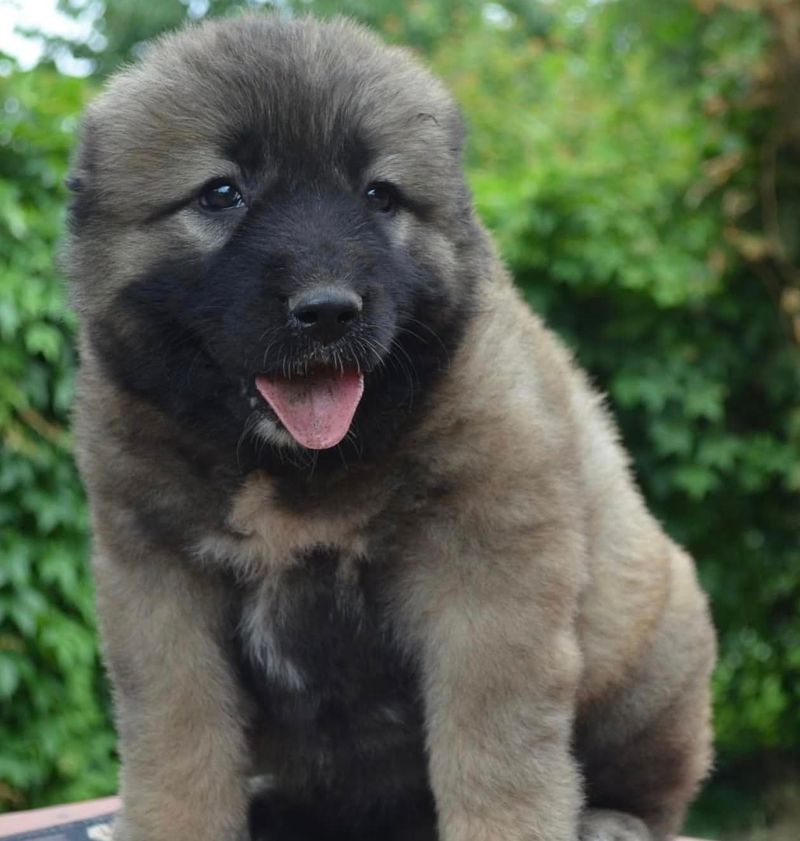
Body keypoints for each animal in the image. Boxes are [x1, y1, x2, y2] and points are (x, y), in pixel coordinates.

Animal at [67, 13, 720, 840]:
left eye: (380, 195)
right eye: (221, 193)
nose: (327, 310)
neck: (293, 470)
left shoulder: (489, 578)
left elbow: (494, 750)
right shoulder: (159, 588)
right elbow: (178, 747)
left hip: (652, 655)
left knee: (652, 787)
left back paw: (613, 817)